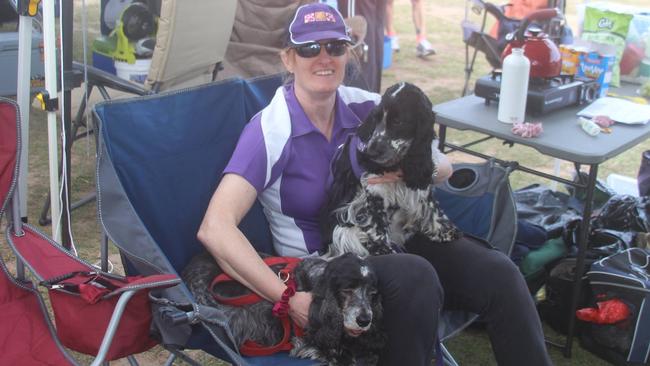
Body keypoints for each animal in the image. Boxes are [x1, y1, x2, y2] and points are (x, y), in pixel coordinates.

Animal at [322, 82, 458, 258]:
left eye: (398, 122)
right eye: (376, 118)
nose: (371, 152)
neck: (399, 161)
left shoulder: (423, 177)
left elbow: (430, 204)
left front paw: (443, 230)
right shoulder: (374, 192)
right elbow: (376, 226)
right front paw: (386, 250)